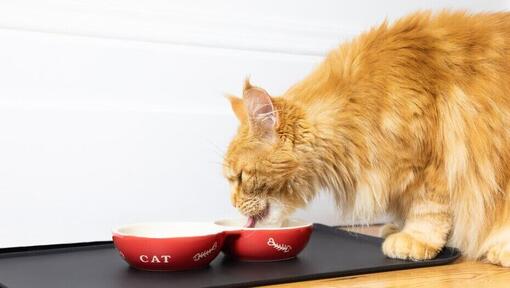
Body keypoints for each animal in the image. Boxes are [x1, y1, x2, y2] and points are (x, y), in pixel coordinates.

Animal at [225, 11, 510, 268]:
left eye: (240, 177)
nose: (233, 203)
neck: (355, 105)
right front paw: (398, 228)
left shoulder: (430, 163)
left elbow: (428, 210)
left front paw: (415, 239)